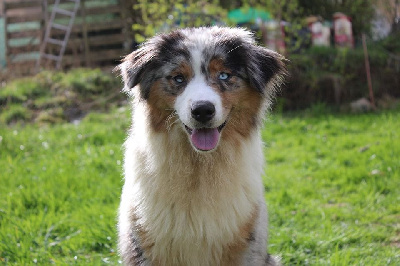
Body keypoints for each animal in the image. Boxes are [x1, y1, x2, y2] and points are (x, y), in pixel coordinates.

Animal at [115, 26, 284, 264]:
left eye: (224, 75)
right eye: (178, 78)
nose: (202, 110)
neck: (199, 166)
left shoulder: (245, 243)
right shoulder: (144, 245)